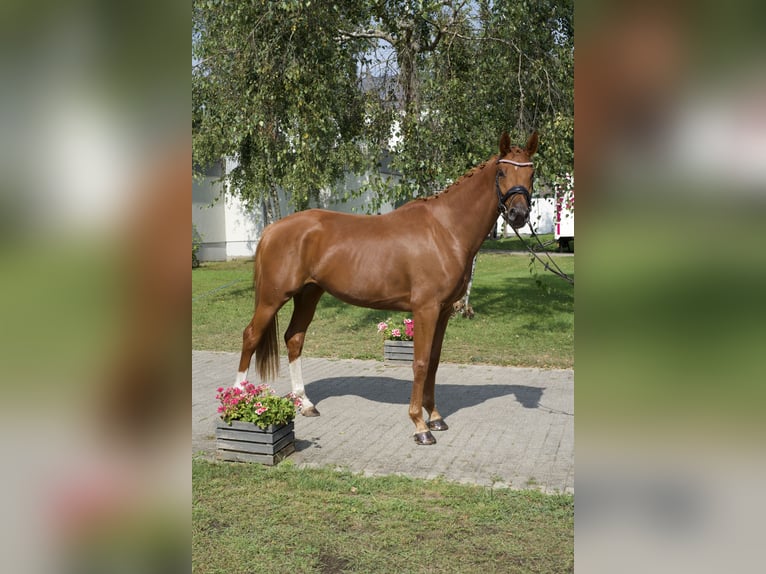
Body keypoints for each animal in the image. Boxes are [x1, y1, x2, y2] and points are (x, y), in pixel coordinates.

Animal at [236, 133, 540, 448]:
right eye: (501, 172)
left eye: (531, 173)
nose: (518, 214)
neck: (445, 230)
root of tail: (272, 229)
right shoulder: (426, 309)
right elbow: (420, 363)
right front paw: (420, 426)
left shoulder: (443, 311)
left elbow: (434, 361)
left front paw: (435, 416)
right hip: (272, 298)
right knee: (251, 336)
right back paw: (240, 400)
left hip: (308, 294)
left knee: (294, 338)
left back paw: (305, 404)